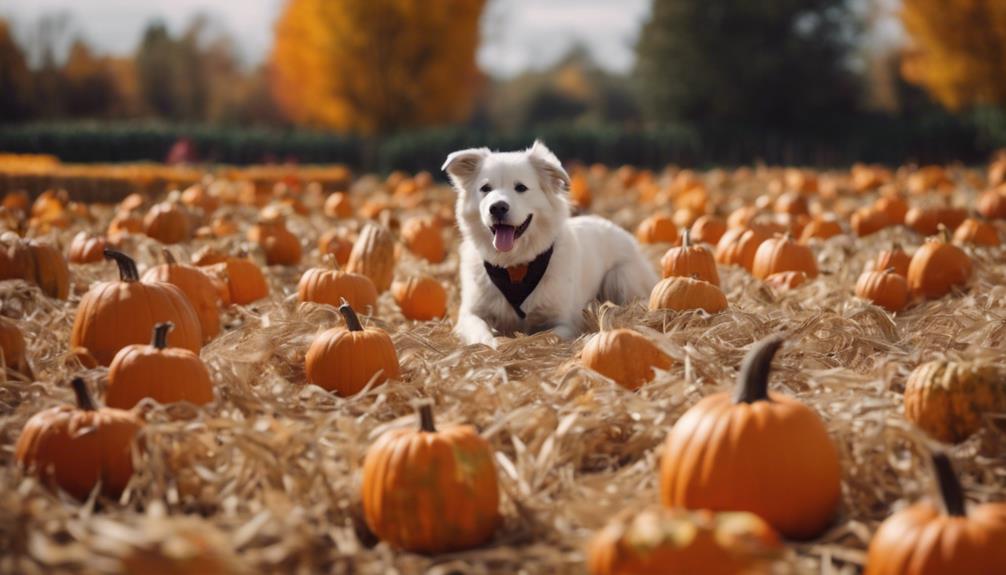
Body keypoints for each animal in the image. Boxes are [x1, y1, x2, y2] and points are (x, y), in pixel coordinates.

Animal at [444, 141, 655, 347]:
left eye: (521, 188)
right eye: (485, 189)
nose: (497, 207)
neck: (515, 268)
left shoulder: (565, 322)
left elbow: (545, 338)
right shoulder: (470, 314)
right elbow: (482, 332)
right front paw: (496, 344)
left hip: (620, 277)